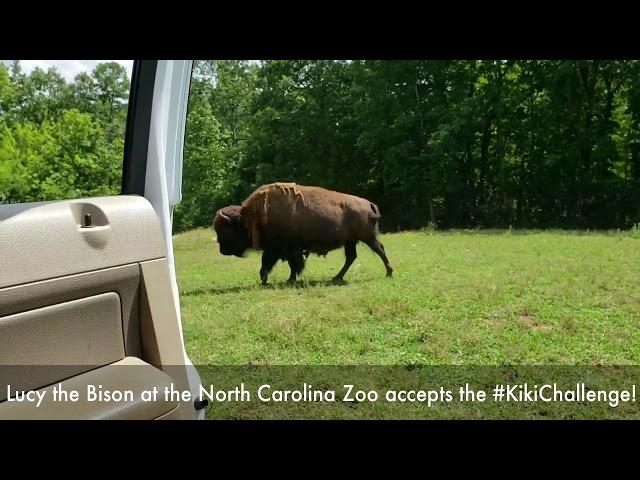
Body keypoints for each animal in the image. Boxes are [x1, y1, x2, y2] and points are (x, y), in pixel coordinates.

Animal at [212, 182, 392, 284]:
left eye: (226, 230)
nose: (221, 250)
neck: (249, 217)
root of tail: (368, 204)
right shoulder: (279, 249)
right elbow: (271, 263)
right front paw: (267, 278)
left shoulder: (286, 248)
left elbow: (290, 264)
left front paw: (287, 280)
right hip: (351, 241)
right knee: (351, 257)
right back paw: (336, 278)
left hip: (367, 237)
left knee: (380, 250)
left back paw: (389, 273)